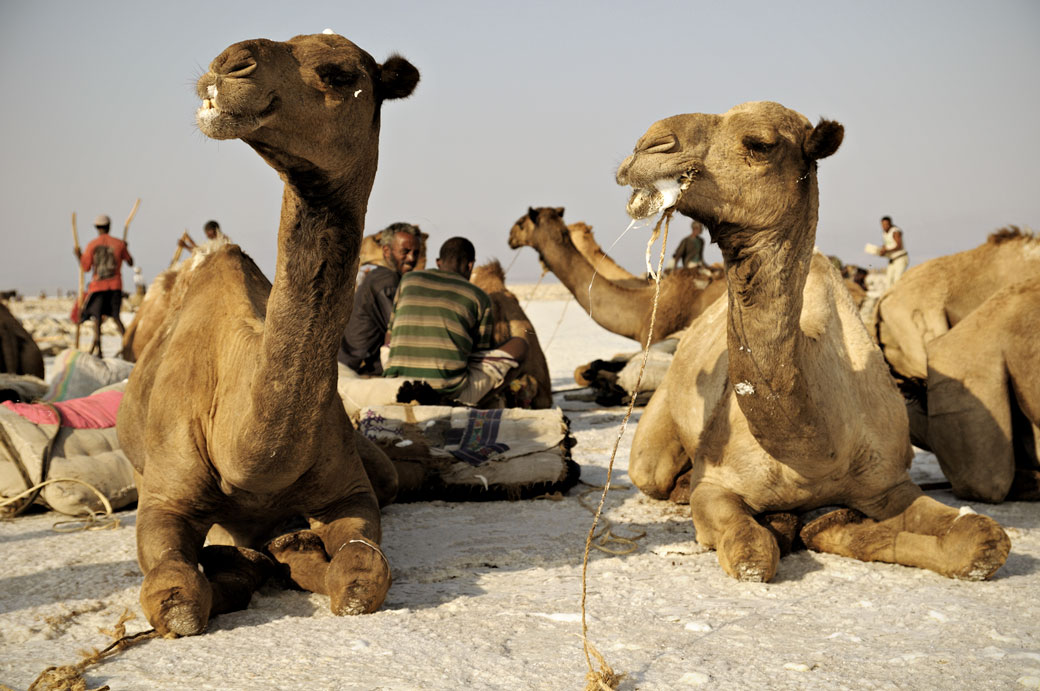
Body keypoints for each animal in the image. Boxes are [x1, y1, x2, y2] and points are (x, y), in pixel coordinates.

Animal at [114, 33, 418, 636]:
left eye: (337, 72)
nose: (227, 65)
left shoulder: (350, 492)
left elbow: (361, 573)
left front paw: (291, 549)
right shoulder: (163, 498)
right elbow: (177, 596)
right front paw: (237, 562)